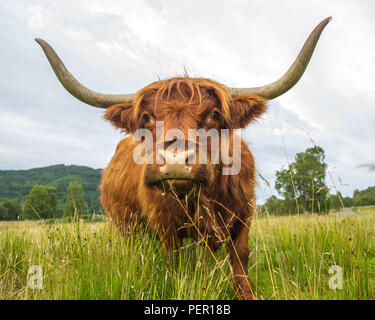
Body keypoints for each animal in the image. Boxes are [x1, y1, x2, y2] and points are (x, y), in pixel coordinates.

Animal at [36, 17, 332, 298]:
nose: (176, 161)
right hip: (126, 224)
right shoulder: (164, 225)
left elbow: (240, 262)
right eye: (146, 117)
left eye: (214, 114)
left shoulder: (244, 216)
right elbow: (174, 265)